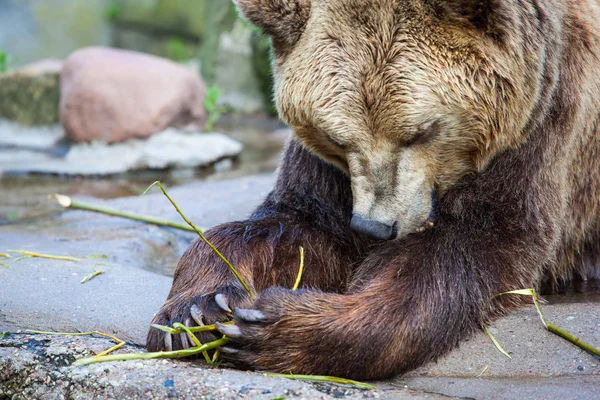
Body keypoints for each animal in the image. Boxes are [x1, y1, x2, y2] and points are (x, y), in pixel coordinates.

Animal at [146, 0, 600, 380]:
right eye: (336, 136)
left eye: (420, 132)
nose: (375, 227)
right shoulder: (331, 178)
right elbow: (291, 227)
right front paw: (197, 312)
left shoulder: (539, 134)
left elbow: (459, 259)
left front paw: (277, 324)